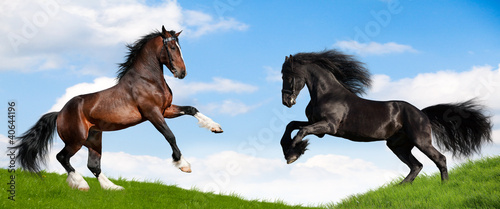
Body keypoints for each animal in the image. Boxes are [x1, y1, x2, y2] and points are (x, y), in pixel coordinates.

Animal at [12, 26, 223, 191]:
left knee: (93, 165)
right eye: (171, 47)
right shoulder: (153, 113)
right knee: (62, 157)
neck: (148, 80)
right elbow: (170, 136)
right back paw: (81, 184)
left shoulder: (166, 110)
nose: (182, 73)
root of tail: (59, 113)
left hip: (94, 139)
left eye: (179, 47)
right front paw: (183, 165)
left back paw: (113, 187)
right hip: (76, 140)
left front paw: (216, 127)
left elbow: (191, 109)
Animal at [282, 49, 492, 184]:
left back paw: (444, 185)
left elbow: (301, 131)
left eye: (289, 75)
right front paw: (289, 150)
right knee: (416, 165)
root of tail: (422, 113)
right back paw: (401, 187)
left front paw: (293, 153)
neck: (327, 94)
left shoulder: (328, 126)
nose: (286, 101)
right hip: (398, 145)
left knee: (439, 159)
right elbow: (291, 125)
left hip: (421, 141)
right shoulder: (317, 126)